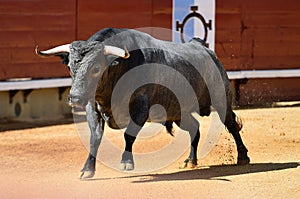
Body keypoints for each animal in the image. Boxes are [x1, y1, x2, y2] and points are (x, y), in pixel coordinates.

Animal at [35, 28, 251, 179]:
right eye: (70, 67)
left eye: (96, 68)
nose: (75, 98)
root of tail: (203, 48)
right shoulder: (92, 108)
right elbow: (95, 138)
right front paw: (87, 170)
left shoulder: (140, 107)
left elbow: (129, 135)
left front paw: (126, 163)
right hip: (178, 111)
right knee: (194, 128)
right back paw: (190, 161)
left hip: (221, 100)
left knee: (231, 125)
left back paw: (242, 157)